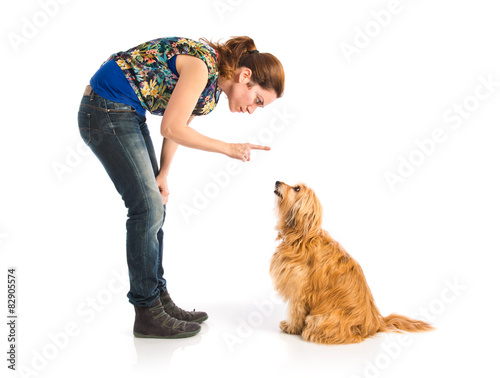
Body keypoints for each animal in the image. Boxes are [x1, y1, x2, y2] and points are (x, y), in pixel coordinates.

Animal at [270, 182, 434, 344]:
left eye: (296, 188)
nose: (277, 182)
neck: (302, 237)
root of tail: (376, 323)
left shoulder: (298, 288)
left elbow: (295, 312)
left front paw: (290, 327)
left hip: (322, 318)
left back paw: (312, 333)